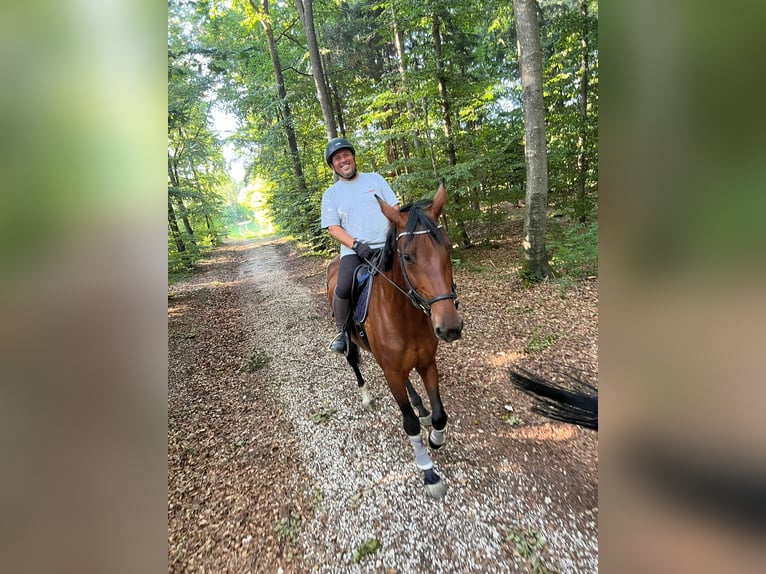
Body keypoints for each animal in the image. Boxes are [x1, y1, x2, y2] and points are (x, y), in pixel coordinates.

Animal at [324, 183, 462, 500]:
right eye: (408, 257)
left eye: (447, 247)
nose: (450, 327)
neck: (405, 315)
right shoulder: (391, 372)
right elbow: (409, 423)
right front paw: (429, 472)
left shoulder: (426, 363)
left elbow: (440, 415)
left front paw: (435, 438)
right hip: (352, 341)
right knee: (354, 361)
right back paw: (365, 394)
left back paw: (419, 404)